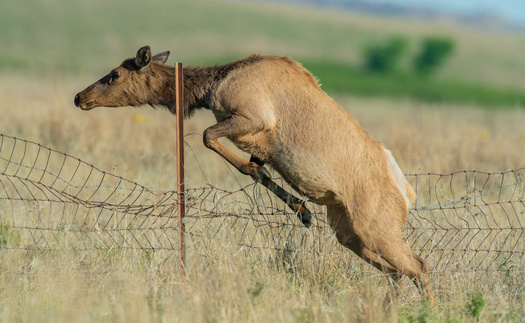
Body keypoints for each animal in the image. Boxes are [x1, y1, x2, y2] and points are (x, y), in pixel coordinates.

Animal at [74, 46, 434, 304]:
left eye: (115, 74)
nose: (80, 97)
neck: (209, 89)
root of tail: (407, 194)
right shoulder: (260, 146)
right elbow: (257, 171)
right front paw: (301, 210)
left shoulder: (253, 118)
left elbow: (210, 138)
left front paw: (301, 209)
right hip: (347, 230)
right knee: (397, 272)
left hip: (375, 227)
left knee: (418, 265)